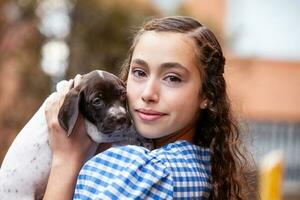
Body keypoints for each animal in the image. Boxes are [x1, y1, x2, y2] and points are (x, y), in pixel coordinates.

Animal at [0, 70, 150, 200]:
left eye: (123, 94)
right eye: (97, 101)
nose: (121, 118)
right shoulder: (95, 131)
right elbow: (126, 131)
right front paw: (142, 139)